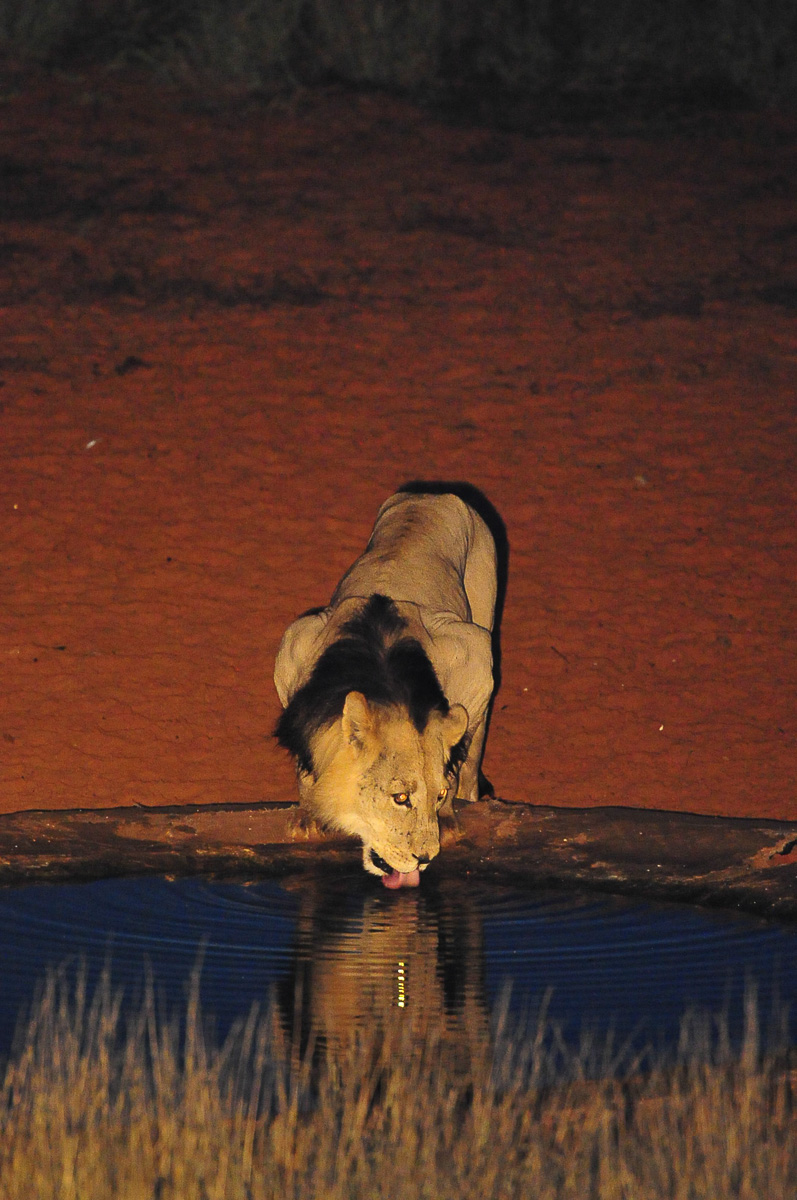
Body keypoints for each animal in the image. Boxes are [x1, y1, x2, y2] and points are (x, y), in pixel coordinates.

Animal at [274, 489, 497, 888]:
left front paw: (449, 816)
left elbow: (459, 753)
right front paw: (309, 813)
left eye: (436, 796)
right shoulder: (294, 646)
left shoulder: (475, 657)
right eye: (400, 798)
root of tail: (432, 492)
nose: (425, 859)